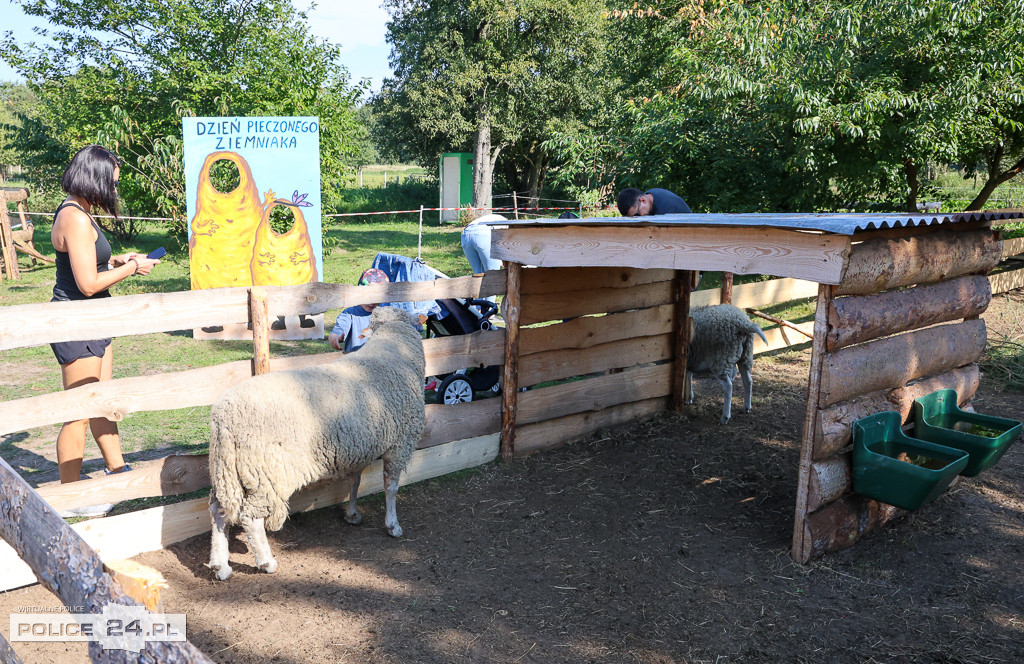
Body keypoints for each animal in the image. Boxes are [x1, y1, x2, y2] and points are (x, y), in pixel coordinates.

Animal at [207, 305, 423, 582]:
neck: (394, 346)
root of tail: (224, 416)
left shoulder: (356, 447)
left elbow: (354, 482)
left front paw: (352, 515)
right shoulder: (400, 445)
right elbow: (391, 488)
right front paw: (393, 525)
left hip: (225, 472)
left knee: (218, 512)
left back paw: (220, 566)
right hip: (266, 474)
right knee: (251, 518)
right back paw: (266, 562)